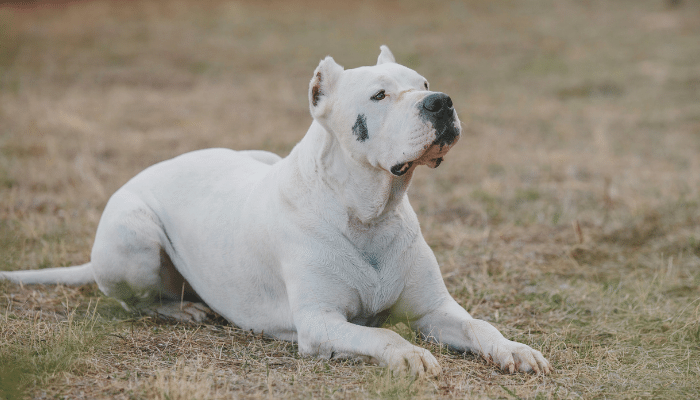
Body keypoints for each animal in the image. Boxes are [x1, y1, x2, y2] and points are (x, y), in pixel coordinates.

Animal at [4, 47, 552, 378]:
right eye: (379, 94)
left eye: (424, 81)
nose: (442, 102)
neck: (369, 212)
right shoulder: (319, 324)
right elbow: (381, 336)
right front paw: (410, 354)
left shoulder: (437, 310)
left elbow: (481, 327)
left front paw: (515, 348)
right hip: (131, 237)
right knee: (129, 301)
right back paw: (182, 308)